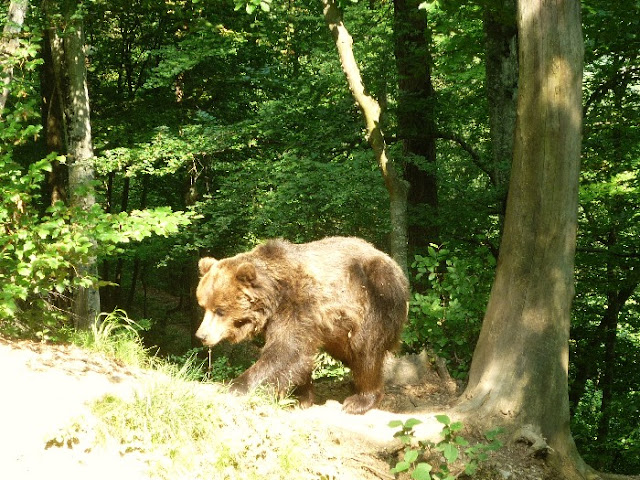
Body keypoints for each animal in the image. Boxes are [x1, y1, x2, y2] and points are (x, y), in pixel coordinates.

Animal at [194, 235, 410, 412]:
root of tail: (395, 266)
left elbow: (286, 351)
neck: (274, 295)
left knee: (365, 349)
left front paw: (236, 387)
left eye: (220, 310)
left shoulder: (298, 303)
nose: (201, 335)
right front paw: (300, 398)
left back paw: (360, 400)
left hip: (374, 298)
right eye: (203, 305)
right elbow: (298, 356)